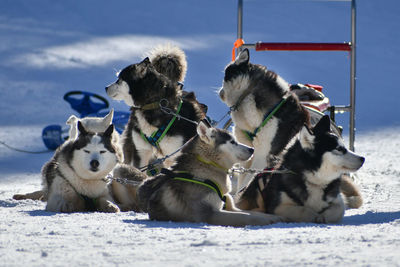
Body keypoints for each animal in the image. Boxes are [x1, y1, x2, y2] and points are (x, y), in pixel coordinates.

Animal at [138, 121, 284, 228]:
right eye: (232, 142)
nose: (252, 149)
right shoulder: (210, 214)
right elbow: (247, 217)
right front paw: (266, 221)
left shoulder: (230, 206)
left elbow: (252, 213)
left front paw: (275, 217)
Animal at [219, 48, 362, 209]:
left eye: (225, 74)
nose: (220, 92)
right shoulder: (247, 153)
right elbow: (244, 178)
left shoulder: (263, 155)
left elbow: (249, 178)